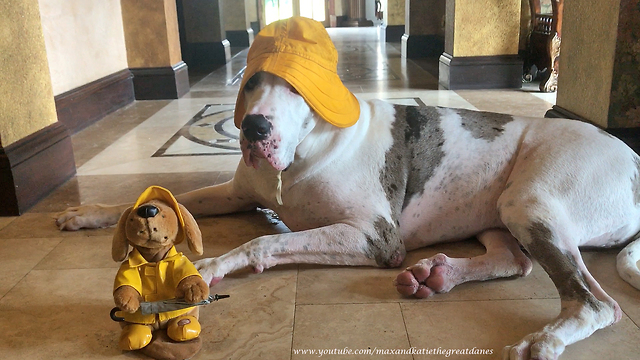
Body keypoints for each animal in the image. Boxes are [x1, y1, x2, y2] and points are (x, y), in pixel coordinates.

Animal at [56, 16, 640, 360]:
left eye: (295, 90)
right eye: (251, 82)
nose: (255, 128)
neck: (298, 158)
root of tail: (634, 159)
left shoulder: (375, 236)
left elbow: (263, 241)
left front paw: (211, 265)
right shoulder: (238, 191)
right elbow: (163, 201)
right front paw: (88, 213)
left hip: (530, 201)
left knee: (596, 303)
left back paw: (543, 338)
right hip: (500, 213)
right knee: (514, 261)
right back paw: (436, 275)